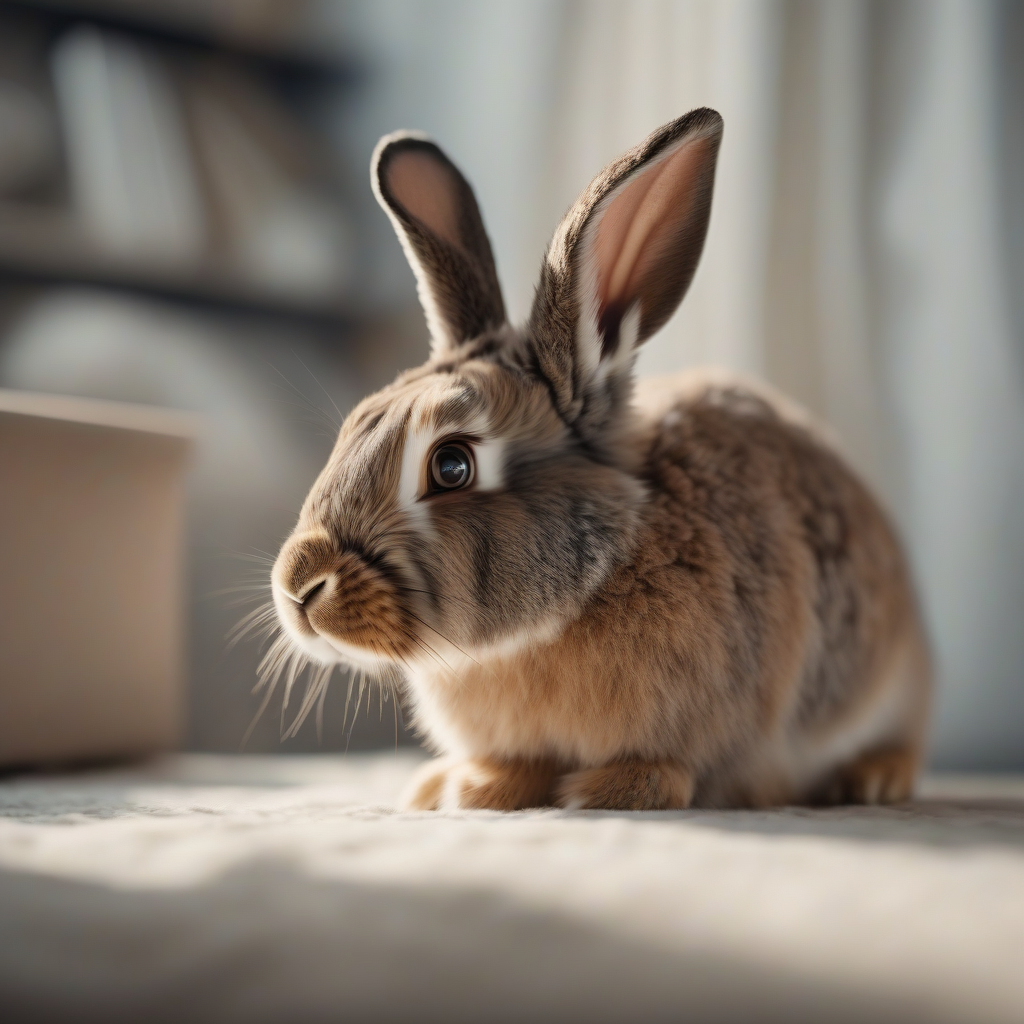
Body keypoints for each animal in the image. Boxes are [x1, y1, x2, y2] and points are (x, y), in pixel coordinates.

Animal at [270, 108, 931, 811]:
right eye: (354, 424)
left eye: (452, 466)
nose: (298, 588)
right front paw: (464, 788)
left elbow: (671, 766)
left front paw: (607, 792)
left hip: (894, 687)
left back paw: (874, 779)